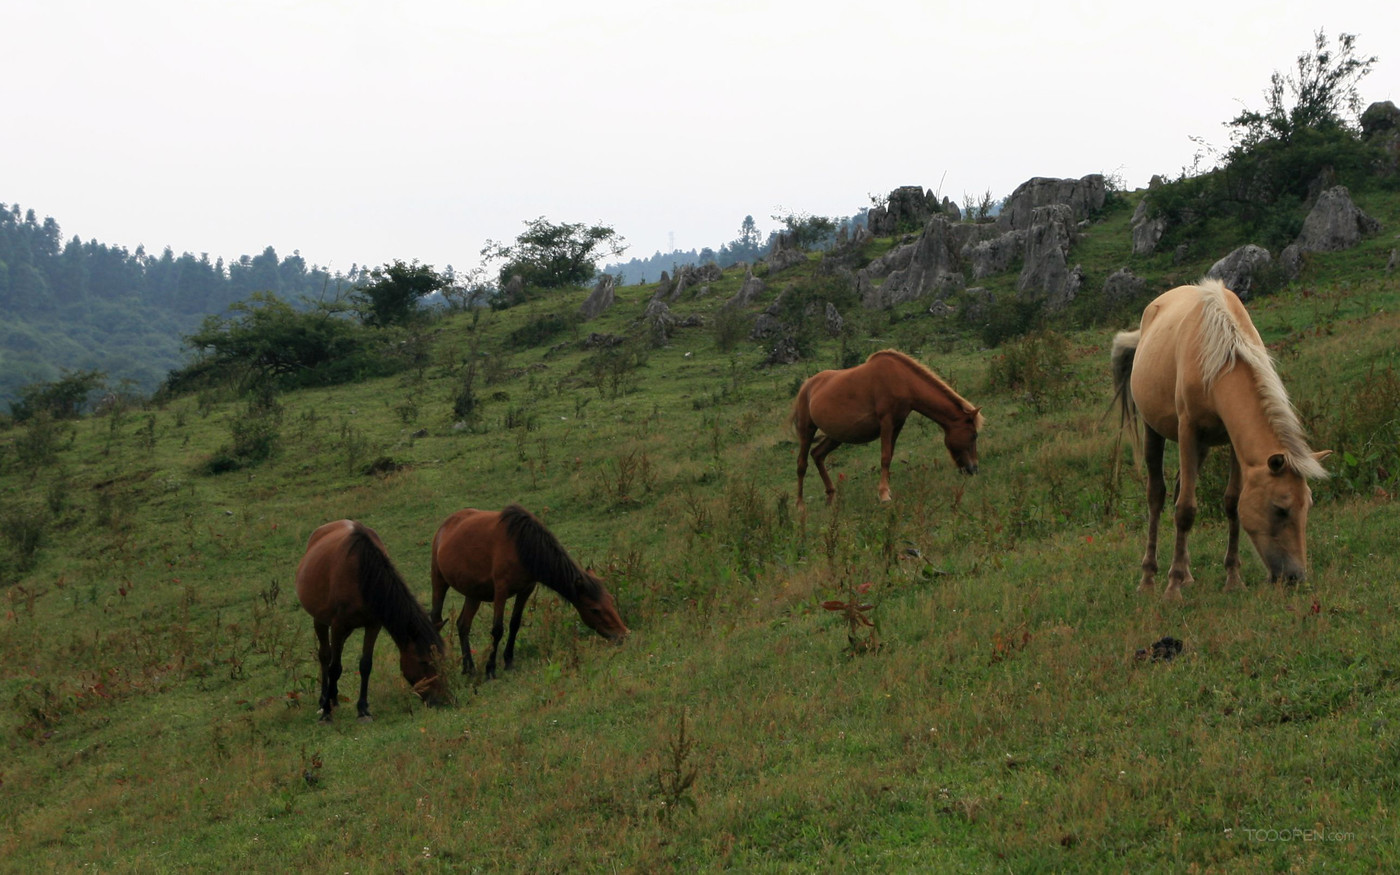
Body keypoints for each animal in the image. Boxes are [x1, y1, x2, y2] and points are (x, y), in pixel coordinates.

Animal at [295, 520, 448, 722]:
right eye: (423, 662)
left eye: (442, 659)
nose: (440, 699)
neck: (363, 574)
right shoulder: (338, 625)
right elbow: (334, 667)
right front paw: (326, 713)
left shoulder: (373, 625)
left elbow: (365, 664)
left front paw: (363, 710)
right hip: (320, 620)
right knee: (325, 656)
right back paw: (324, 701)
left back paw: (333, 698)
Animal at [425, 501, 624, 680]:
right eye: (594, 610)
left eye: (611, 600)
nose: (623, 634)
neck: (521, 546)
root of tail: (445, 526)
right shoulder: (501, 591)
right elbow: (497, 630)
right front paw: (490, 669)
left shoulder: (526, 590)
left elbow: (515, 624)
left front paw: (508, 661)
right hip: (439, 580)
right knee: (436, 619)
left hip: (474, 593)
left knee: (463, 625)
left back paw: (469, 668)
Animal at [789, 348, 985, 504]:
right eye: (973, 435)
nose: (974, 469)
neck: (902, 381)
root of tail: (806, 386)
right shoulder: (886, 422)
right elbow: (884, 457)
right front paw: (883, 494)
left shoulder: (897, 424)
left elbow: (889, 456)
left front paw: (887, 488)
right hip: (807, 431)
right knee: (801, 464)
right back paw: (800, 505)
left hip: (836, 436)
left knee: (818, 455)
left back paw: (830, 497)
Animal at [1108, 280, 1327, 599]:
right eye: (1280, 509)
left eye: (1307, 507)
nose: (1295, 577)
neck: (1219, 357)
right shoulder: (1188, 430)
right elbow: (1185, 510)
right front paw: (1172, 588)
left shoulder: (1233, 442)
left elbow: (1232, 503)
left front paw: (1232, 578)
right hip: (1154, 431)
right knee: (1157, 496)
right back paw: (1149, 578)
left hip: (1201, 448)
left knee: (1179, 489)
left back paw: (1187, 574)